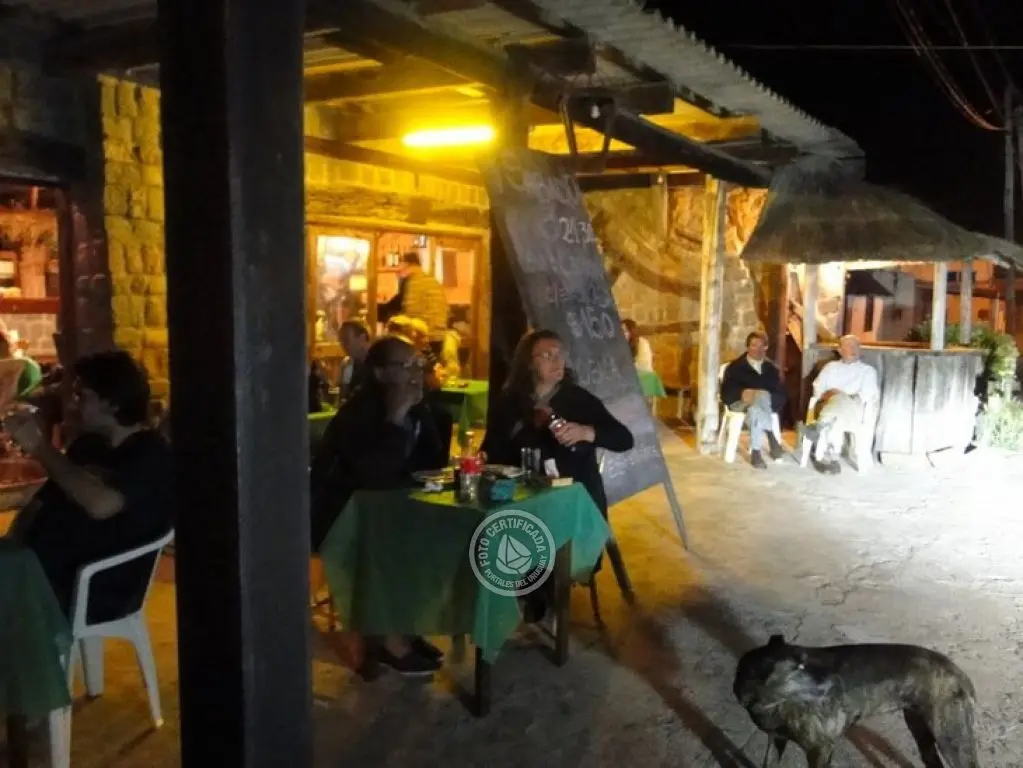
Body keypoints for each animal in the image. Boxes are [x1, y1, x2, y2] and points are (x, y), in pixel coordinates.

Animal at [733, 634, 979, 768]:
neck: (770, 703)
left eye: (806, 661)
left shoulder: (820, 749)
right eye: (800, 668)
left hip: (952, 740)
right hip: (922, 730)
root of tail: (962, 676)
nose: (836, 679)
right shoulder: (776, 739)